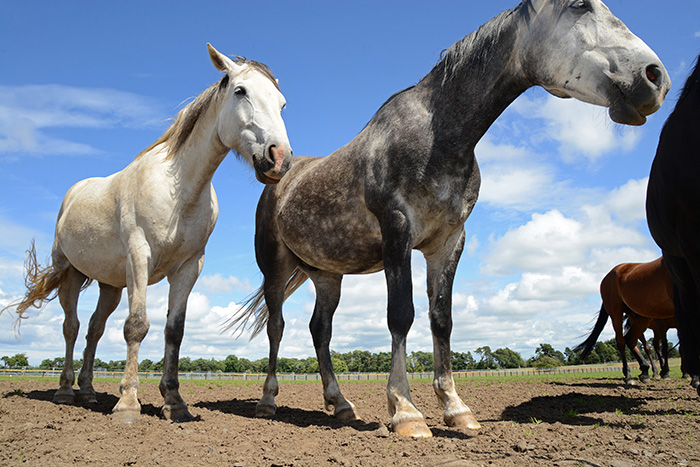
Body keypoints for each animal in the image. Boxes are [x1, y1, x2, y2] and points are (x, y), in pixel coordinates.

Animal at [5, 44, 292, 424]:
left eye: (282, 103)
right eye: (240, 91)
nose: (280, 158)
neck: (178, 189)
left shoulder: (188, 268)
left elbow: (174, 331)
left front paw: (175, 402)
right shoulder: (139, 256)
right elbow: (137, 325)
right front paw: (128, 404)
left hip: (110, 284)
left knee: (94, 329)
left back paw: (89, 391)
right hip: (70, 273)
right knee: (72, 327)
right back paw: (66, 391)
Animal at [234, 0, 668, 438]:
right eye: (580, 5)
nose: (655, 77)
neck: (439, 136)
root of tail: (281, 175)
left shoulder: (448, 242)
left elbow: (441, 320)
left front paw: (456, 409)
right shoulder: (397, 232)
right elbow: (401, 315)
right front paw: (406, 411)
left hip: (327, 275)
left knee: (320, 331)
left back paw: (340, 404)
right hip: (275, 267)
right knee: (277, 327)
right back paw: (268, 402)